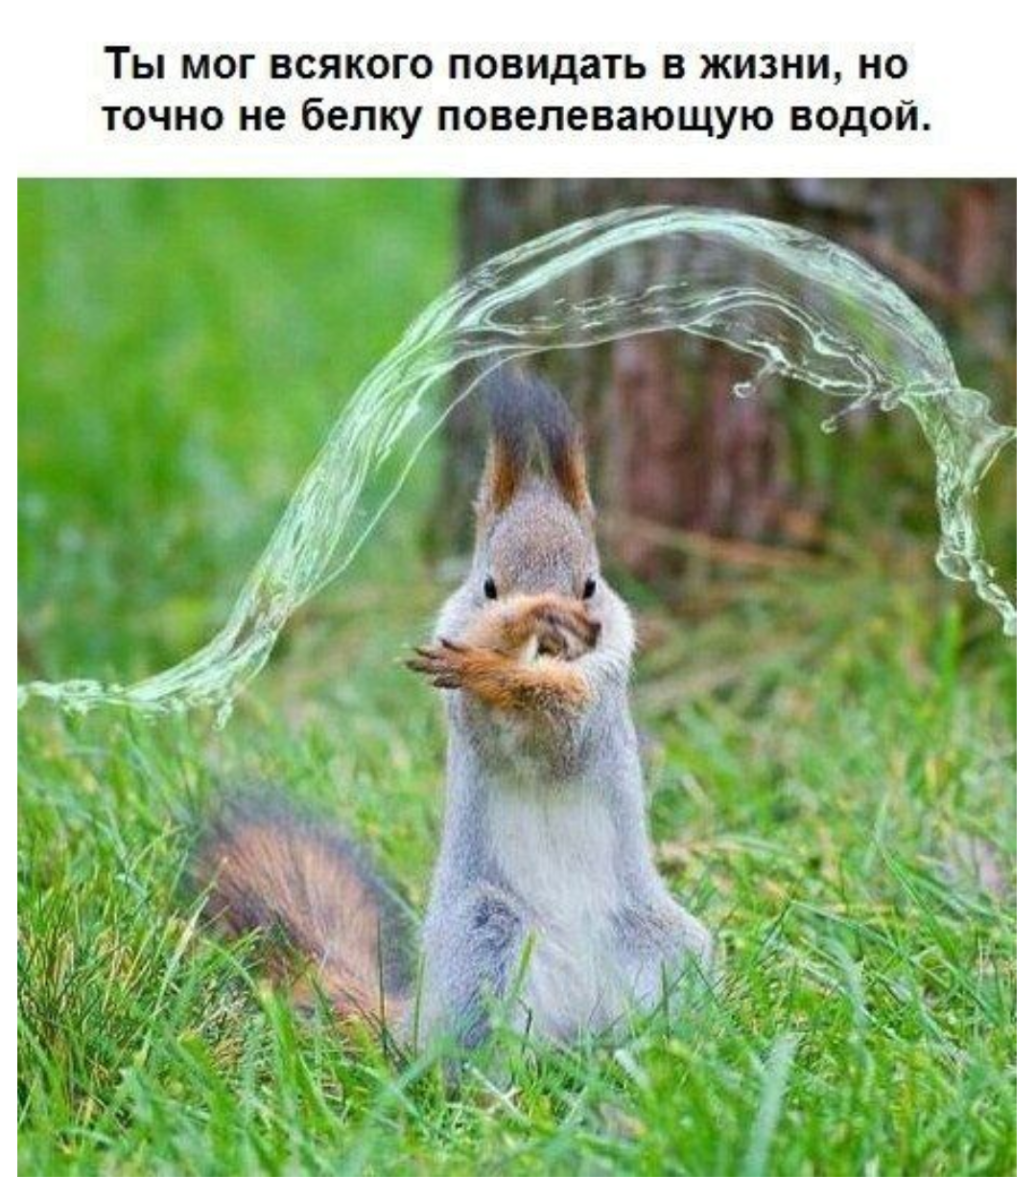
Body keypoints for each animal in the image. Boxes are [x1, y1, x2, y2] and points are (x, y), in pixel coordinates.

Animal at [195, 369, 711, 1051]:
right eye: (488, 585)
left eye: (591, 585)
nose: (554, 638)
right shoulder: (466, 706)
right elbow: (488, 718)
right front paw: (503, 642)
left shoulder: (603, 695)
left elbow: (567, 729)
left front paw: (513, 670)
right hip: (484, 933)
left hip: (667, 948)